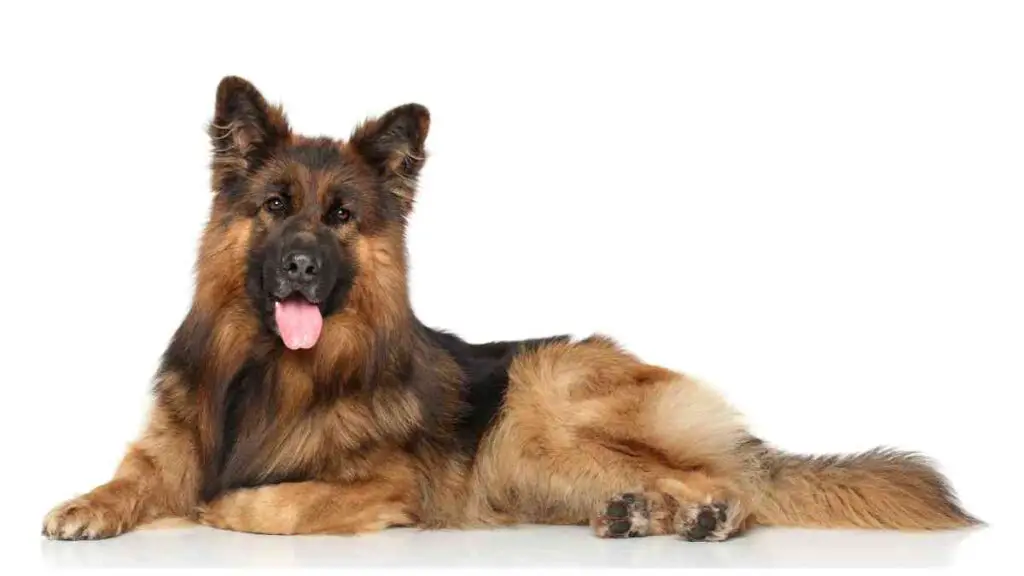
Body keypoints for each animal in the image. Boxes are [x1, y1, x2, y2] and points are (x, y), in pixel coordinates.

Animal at [39, 76, 978, 537]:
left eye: (341, 217)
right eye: (275, 206)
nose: (302, 267)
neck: (269, 371)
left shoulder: (387, 486)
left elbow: (280, 501)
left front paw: (225, 508)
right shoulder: (169, 446)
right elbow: (131, 479)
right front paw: (85, 505)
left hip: (538, 408)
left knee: (730, 479)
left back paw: (707, 515)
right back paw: (642, 515)